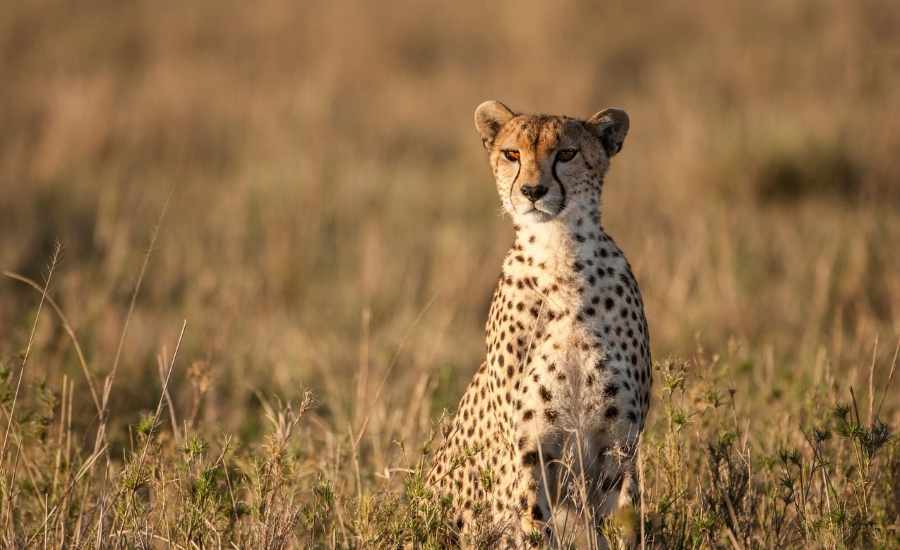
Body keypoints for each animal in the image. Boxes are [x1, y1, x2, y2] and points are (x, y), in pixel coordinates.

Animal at [428, 102, 652, 548]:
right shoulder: (530, 451)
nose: (533, 191)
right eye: (512, 154)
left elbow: (622, 523)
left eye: (565, 154)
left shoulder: (620, 445)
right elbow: (534, 524)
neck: (561, 254)